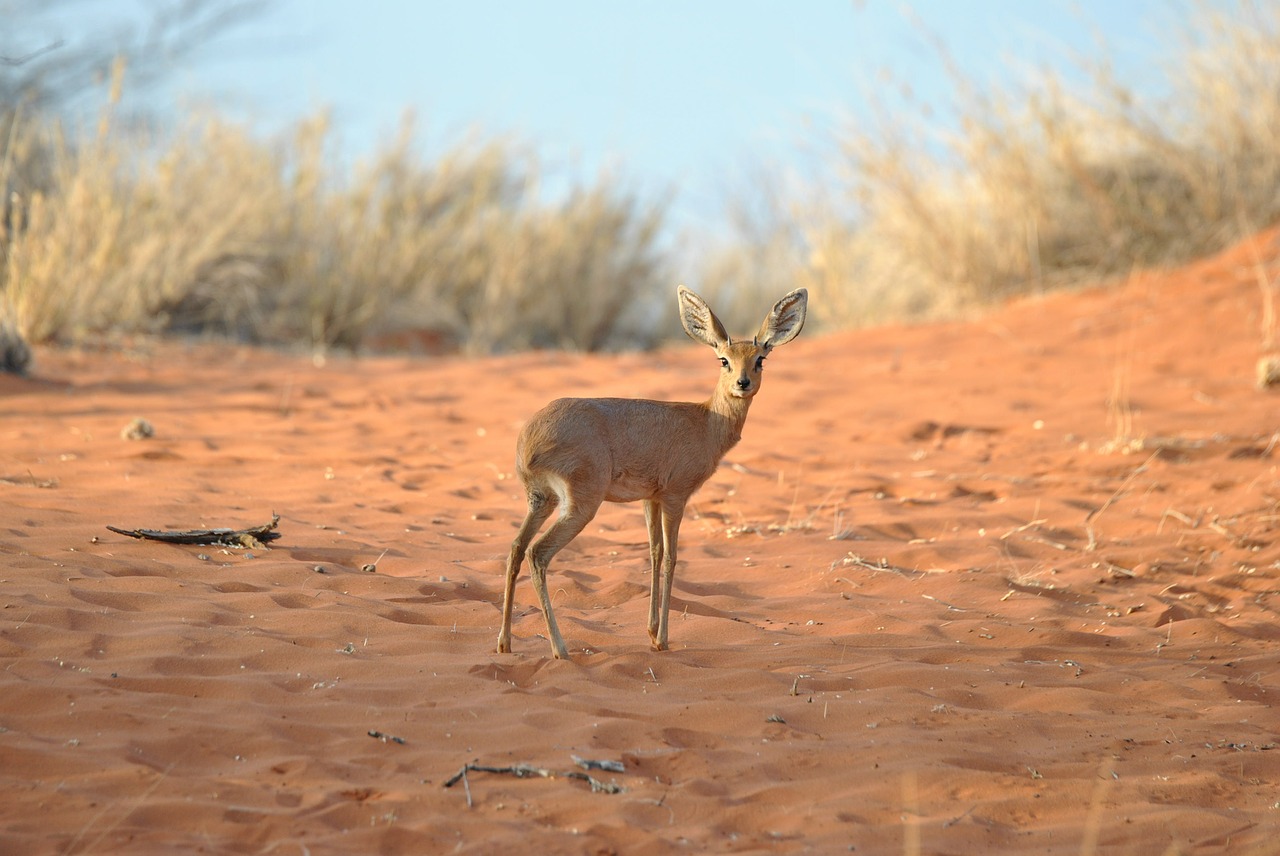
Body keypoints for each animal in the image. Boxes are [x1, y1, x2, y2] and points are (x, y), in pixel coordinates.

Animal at [494, 284, 803, 660]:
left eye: (760, 359)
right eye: (724, 360)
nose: (743, 383)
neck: (706, 421)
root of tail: (529, 439)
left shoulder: (649, 499)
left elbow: (653, 553)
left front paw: (652, 632)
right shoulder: (675, 496)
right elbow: (671, 557)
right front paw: (664, 639)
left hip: (541, 500)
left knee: (515, 548)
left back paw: (505, 643)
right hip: (580, 505)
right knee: (538, 554)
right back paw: (560, 648)